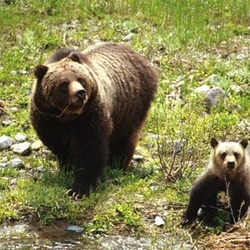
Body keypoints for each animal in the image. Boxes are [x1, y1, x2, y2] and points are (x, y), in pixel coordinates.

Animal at [30, 42, 157, 196]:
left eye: (80, 79)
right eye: (64, 83)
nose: (80, 93)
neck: (68, 116)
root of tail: (139, 56)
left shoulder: (90, 117)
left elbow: (90, 151)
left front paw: (79, 189)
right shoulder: (48, 120)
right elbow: (60, 147)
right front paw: (68, 168)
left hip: (130, 107)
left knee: (124, 138)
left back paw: (117, 164)